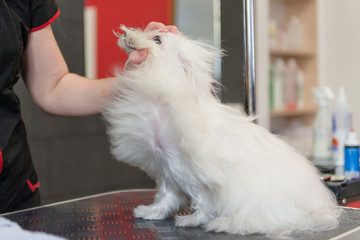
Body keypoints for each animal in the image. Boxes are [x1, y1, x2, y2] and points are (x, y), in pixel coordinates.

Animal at [103, 26, 340, 238]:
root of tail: (316, 208)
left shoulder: (197, 177)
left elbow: (203, 204)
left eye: (157, 39)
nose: (126, 34)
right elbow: (166, 198)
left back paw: (223, 223)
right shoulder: (167, 171)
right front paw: (151, 212)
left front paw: (192, 220)